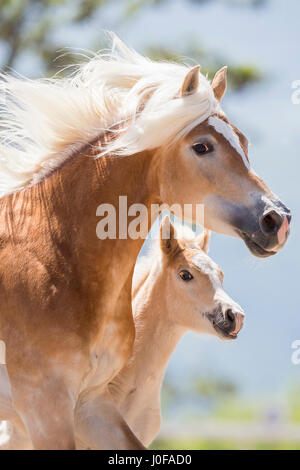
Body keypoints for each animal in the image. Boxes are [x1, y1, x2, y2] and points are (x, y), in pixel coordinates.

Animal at [0, 34, 290, 448]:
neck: (56, 259)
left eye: (244, 142)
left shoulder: (90, 404)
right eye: (202, 146)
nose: (277, 220)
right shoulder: (44, 407)